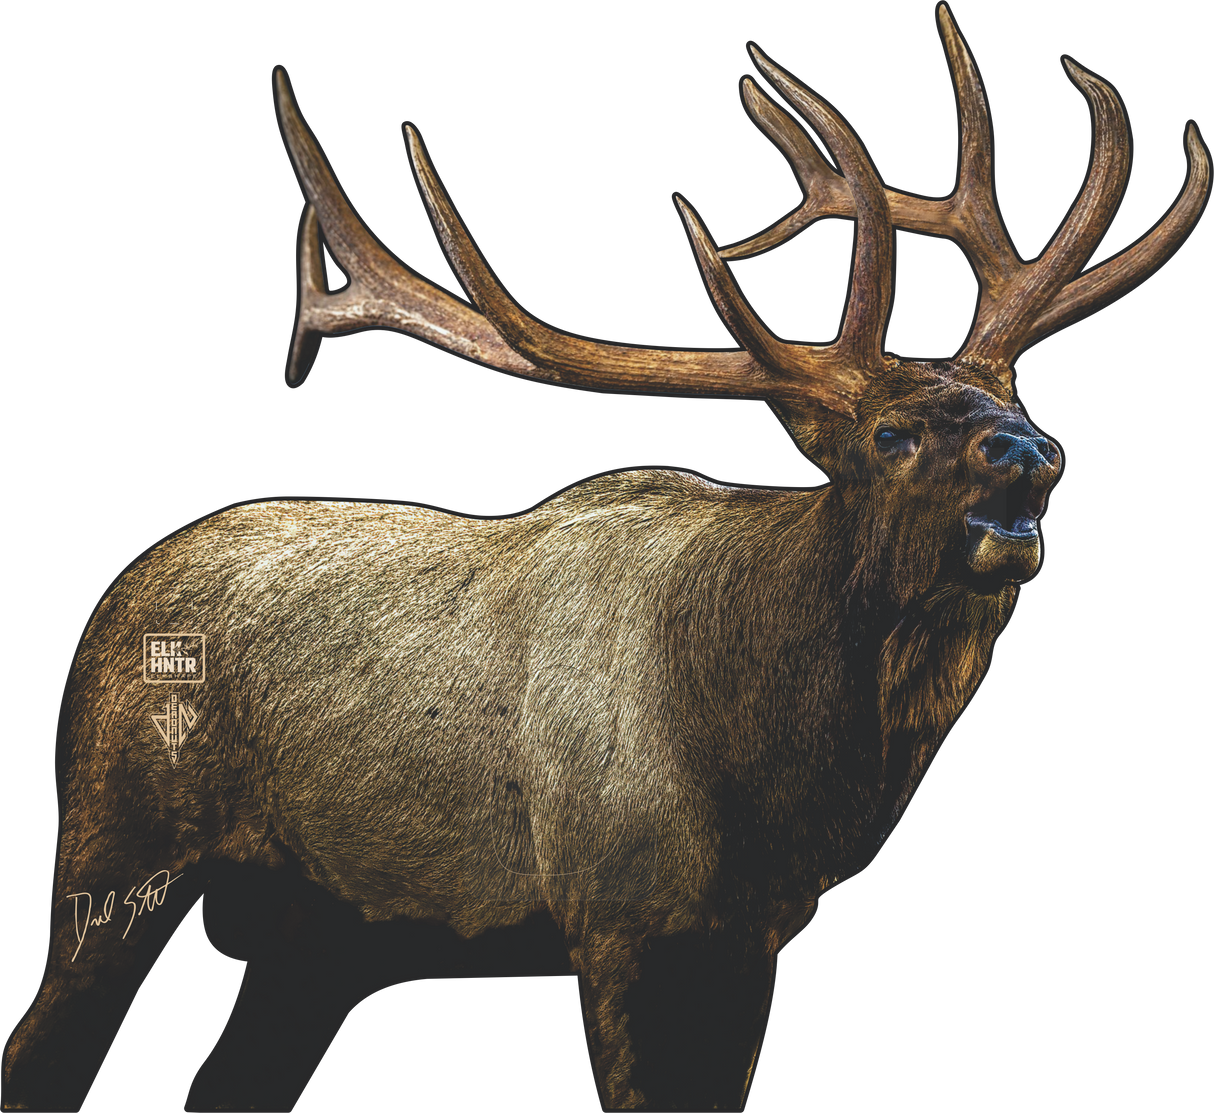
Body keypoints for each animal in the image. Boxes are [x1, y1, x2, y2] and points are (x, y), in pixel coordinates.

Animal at [4, 6, 1207, 1110]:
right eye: (891, 436)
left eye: (1019, 403)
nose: (1031, 455)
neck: (788, 778)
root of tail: (115, 595)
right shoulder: (617, 913)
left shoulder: (752, 935)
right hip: (115, 844)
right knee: (37, 1046)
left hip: (319, 933)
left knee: (229, 1079)